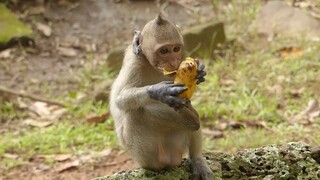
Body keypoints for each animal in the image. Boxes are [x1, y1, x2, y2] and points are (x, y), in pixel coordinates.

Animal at [109, 14, 212, 180]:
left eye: (176, 49)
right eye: (164, 51)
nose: (173, 61)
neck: (151, 65)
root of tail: (172, 159)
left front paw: (200, 71)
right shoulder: (133, 62)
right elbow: (119, 100)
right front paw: (160, 91)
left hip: (177, 143)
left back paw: (196, 157)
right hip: (146, 157)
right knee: (135, 113)